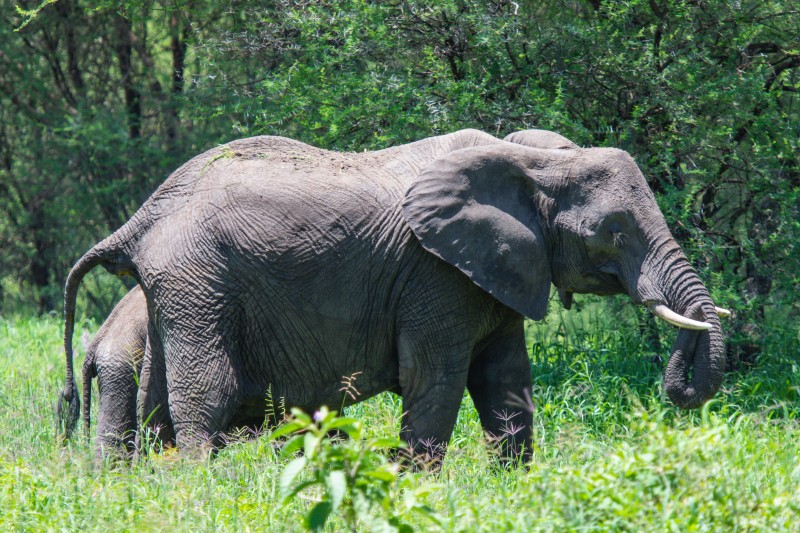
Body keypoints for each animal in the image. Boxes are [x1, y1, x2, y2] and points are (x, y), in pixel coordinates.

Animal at [59, 128, 728, 462]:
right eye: (613, 232)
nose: (677, 377)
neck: (528, 158)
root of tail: (141, 218)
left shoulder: (496, 269)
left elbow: (506, 381)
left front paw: (513, 487)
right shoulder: (435, 275)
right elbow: (435, 378)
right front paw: (417, 488)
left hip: (174, 290)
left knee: (157, 398)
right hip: (200, 279)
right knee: (207, 395)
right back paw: (204, 490)